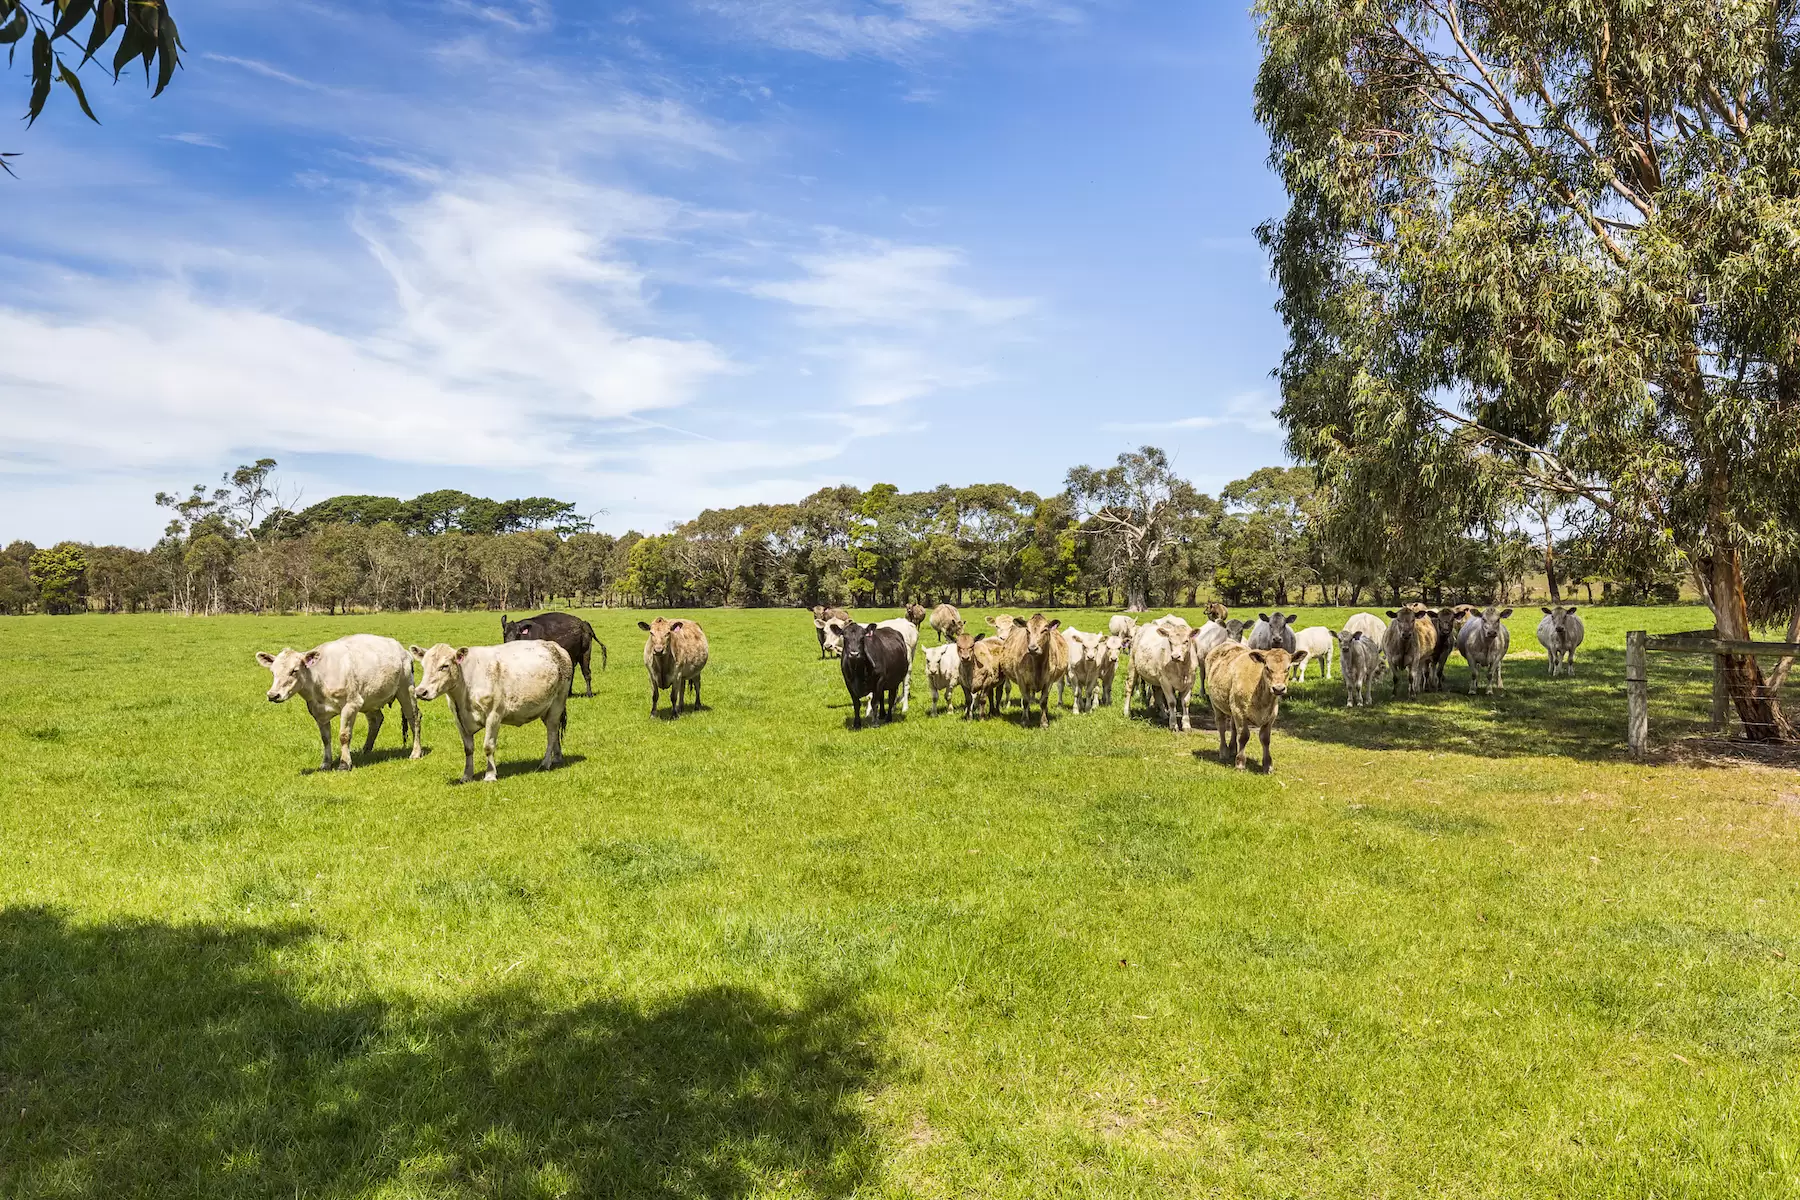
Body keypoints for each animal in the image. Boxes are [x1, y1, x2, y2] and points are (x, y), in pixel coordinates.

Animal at [255, 633, 419, 773]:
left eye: (294, 670)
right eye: (272, 671)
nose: (273, 695)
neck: (319, 681)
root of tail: (403, 650)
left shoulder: (351, 704)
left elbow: (344, 735)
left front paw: (344, 764)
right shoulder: (318, 712)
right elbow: (325, 738)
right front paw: (325, 763)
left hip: (406, 689)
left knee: (414, 718)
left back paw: (415, 752)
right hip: (370, 698)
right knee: (376, 719)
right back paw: (366, 750)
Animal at [412, 644, 568, 784]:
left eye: (444, 666)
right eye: (423, 666)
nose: (421, 692)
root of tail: (556, 647)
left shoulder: (494, 715)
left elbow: (488, 746)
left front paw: (490, 775)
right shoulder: (459, 720)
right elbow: (468, 749)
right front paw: (466, 776)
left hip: (557, 703)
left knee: (551, 733)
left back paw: (545, 763)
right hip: (545, 709)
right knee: (554, 733)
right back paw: (557, 757)